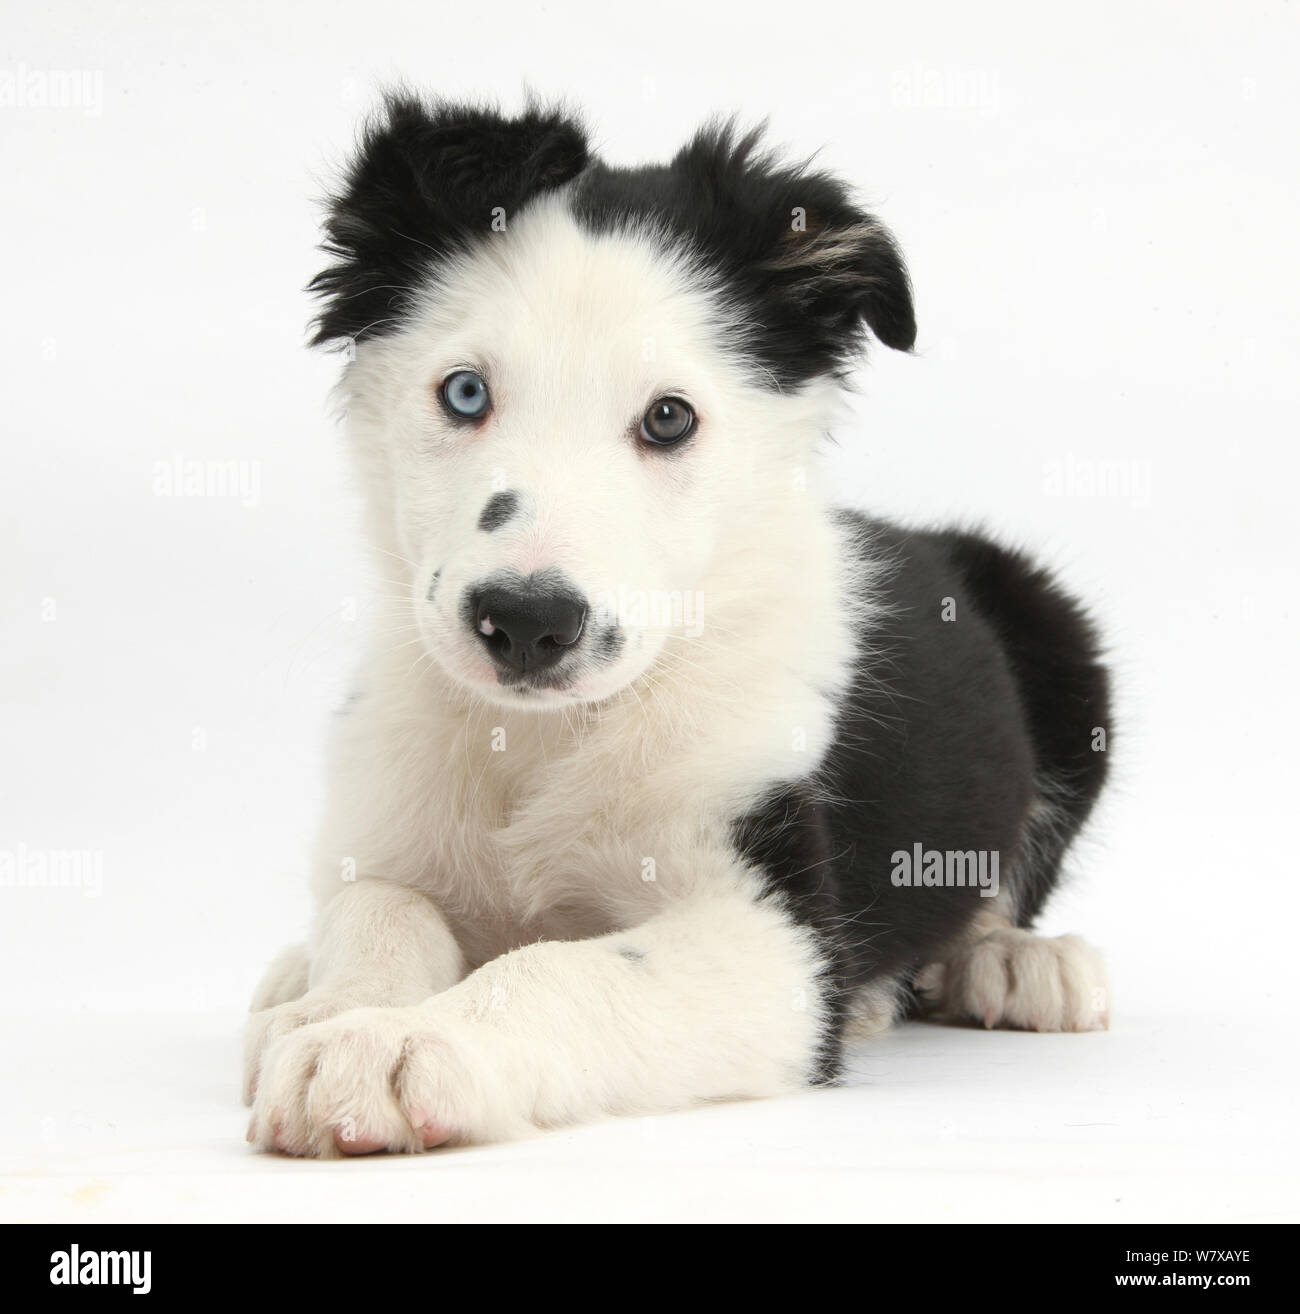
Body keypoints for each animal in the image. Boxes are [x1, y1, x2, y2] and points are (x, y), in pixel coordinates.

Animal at [243, 97, 1104, 1156]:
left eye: (667, 419)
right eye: (465, 393)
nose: (526, 623)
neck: (543, 737)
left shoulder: (772, 933)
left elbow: (565, 971)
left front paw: (400, 1045)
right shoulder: (387, 815)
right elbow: (377, 908)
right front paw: (336, 1008)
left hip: (1059, 639)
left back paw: (1015, 963)